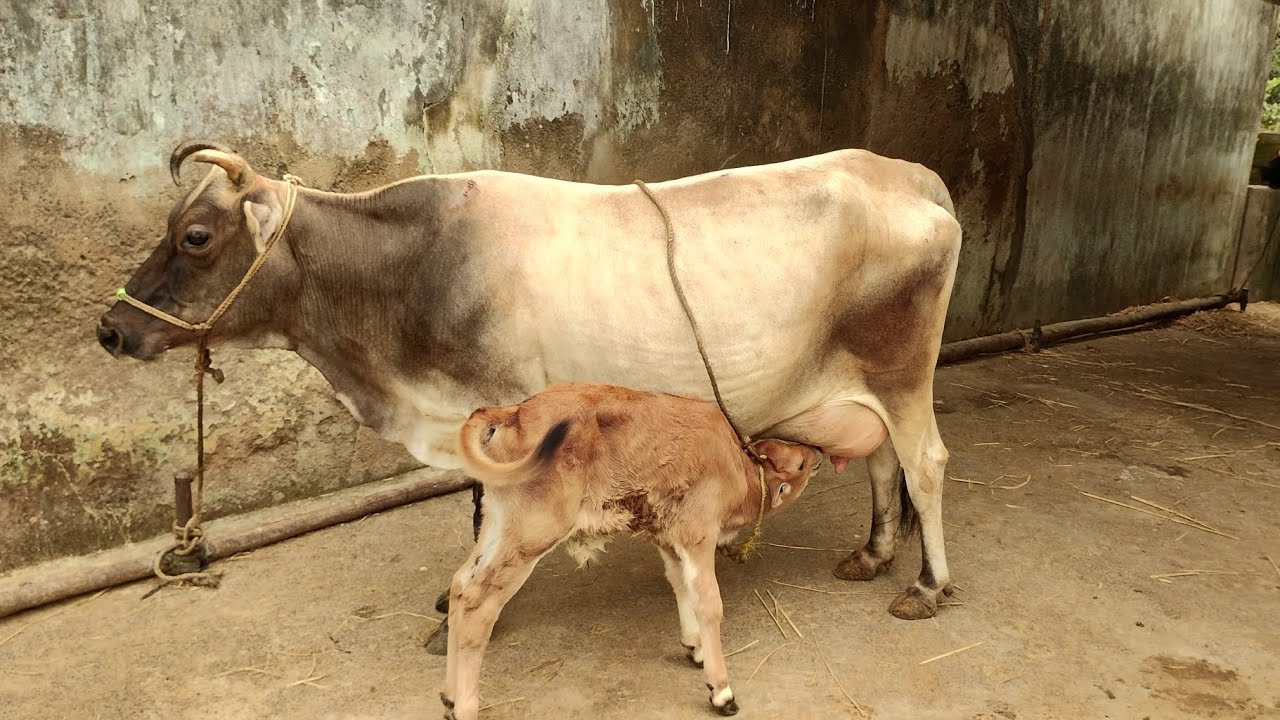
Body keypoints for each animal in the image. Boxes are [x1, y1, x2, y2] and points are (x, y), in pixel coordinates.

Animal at [97, 143, 962, 629]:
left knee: (924, 465)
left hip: (902, 372)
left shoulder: (497, 409)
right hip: (859, 385)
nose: (111, 329)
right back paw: (874, 554)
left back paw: (927, 585)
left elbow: (487, 513)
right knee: (883, 464)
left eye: (195, 236)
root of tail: (905, 172)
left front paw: (470, 598)